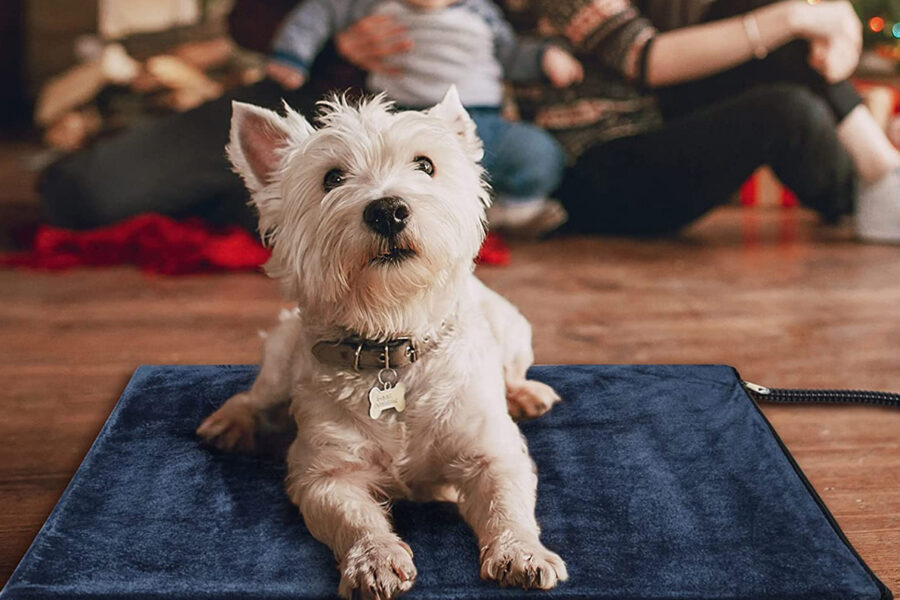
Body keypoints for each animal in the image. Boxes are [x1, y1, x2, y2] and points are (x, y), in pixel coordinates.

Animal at [198, 86, 568, 596]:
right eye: (332, 177)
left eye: (425, 165)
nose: (388, 210)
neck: (392, 342)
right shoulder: (324, 472)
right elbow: (352, 516)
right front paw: (374, 560)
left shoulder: (491, 451)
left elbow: (506, 500)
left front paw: (522, 553)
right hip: (281, 357)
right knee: (255, 396)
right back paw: (228, 424)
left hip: (512, 328)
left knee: (514, 371)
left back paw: (527, 394)